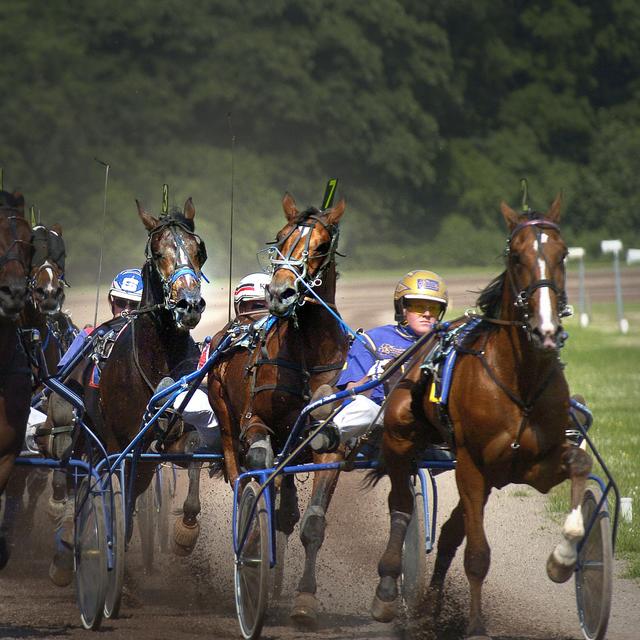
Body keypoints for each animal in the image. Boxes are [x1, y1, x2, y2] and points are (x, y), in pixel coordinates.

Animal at [48, 198, 208, 586]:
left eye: (199, 250)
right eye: (158, 252)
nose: (189, 303)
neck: (158, 358)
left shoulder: (166, 436)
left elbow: (194, 449)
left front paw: (185, 533)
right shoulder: (117, 444)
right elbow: (113, 491)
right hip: (81, 429)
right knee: (74, 474)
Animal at [207, 193, 349, 624]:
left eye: (321, 245)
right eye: (281, 237)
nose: (281, 292)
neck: (305, 355)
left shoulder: (329, 443)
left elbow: (313, 524)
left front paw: (305, 599)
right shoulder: (255, 423)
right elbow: (259, 463)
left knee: (286, 507)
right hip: (223, 415)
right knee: (243, 472)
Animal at [370, 194, 592, 639]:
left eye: (562, 254)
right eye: (516, 255)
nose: (545, 329)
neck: (520, 378)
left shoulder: (536, 463)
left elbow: (579, 462)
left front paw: (563, 557)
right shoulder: (471, 462)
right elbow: (477, 554)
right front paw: (475, 625)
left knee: (449, 531)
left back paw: (431, 608)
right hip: (401, 436)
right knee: (401, 505)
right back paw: (387, 589)